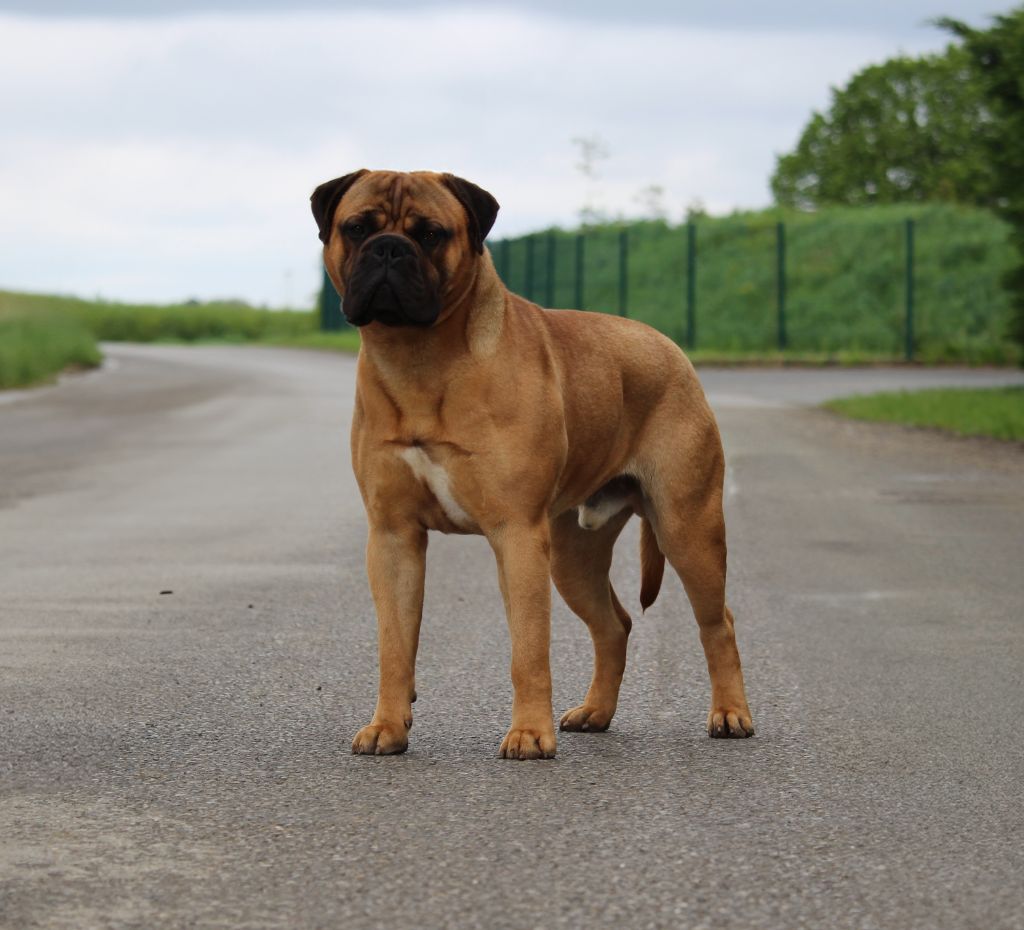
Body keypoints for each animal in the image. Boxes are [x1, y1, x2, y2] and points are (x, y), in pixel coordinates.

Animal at [309, 171, 753, 757]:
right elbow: (395, 643)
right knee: (614, 625)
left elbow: (528, 648)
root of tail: (672, 349)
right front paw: (387, 726)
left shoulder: (516, 533)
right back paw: (595, 712)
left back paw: (730, 713)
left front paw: (528, 734)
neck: (419, 356)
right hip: (572, 555)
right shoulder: (392, 535)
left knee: (717, 622)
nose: (388, 249)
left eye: (429, 234)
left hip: (687, 528)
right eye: (357, 227)